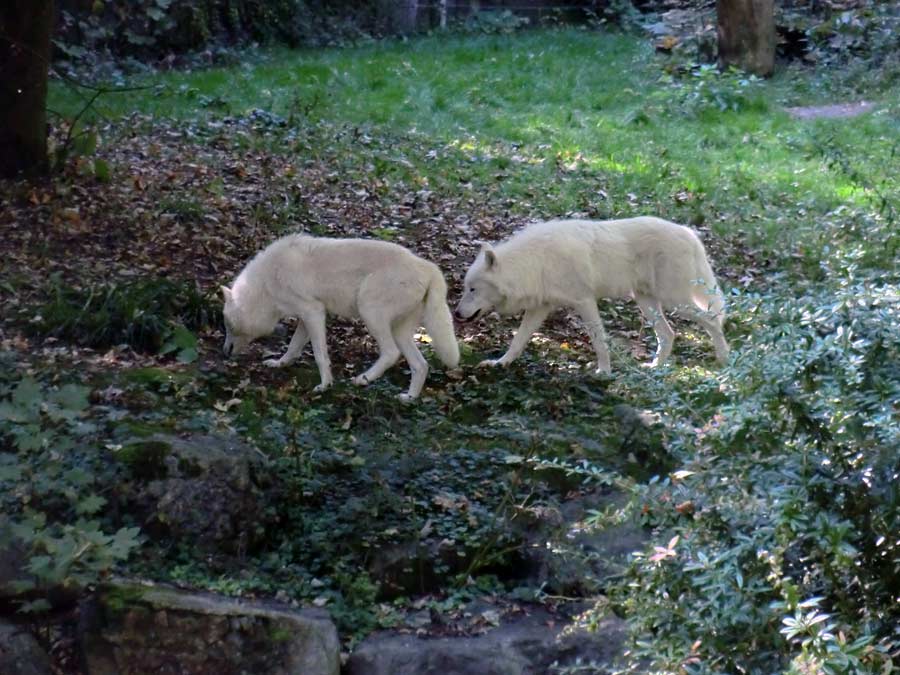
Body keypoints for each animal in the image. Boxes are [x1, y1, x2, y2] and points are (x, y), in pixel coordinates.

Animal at [458, 218, 732, 372]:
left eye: (472, 289)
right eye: (465, 287)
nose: (458, 314)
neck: (536, 261)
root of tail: (689, 233)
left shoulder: (584, 302)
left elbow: (599, 341)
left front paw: (603, 372)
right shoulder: (540, 308)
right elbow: (517, 341)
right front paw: (500, 363)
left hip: (675, 301)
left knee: (712, 320)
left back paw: (724, 359)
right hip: (646, 302)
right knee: (668, 334)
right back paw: (655, 367)